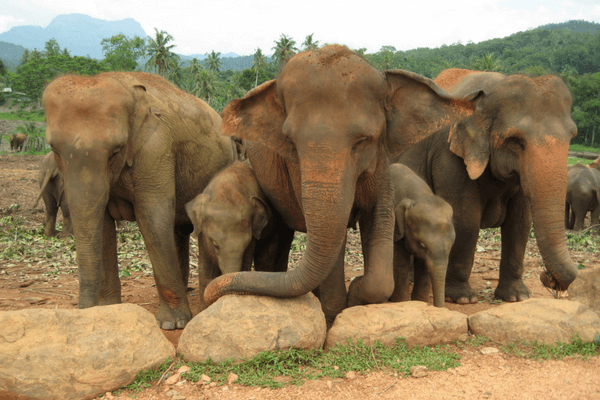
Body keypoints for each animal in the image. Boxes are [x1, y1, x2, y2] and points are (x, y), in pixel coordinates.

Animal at [42, 71, 238, 328]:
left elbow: (152, 221)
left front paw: (173, 324)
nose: (83, 312)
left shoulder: (155, 150)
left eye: (116, 150)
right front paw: (109, 310)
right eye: (54, 149)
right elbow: (103, 227)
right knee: (177, 231)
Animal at [185, 161, 284, 310]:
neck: (226, 188)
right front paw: (203, 309)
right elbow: (205, 269)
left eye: (246, 244)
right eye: (215, 244)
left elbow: (246, 264)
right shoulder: (202, 235)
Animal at [390, 162, 454, 306]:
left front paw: (419, 302)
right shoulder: (396, 229)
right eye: (422, 245)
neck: (419, 194)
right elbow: (401, 262)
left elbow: (423, 266)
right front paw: (402, 302)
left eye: (451, 246)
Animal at [396, 69, 580, 304]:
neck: (490, 93)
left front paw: (517, 297)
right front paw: (462, 299)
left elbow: (520, 222)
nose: (547, 277)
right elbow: (465, 218)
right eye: (516, 141)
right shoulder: (448, 157)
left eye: (572, 137)